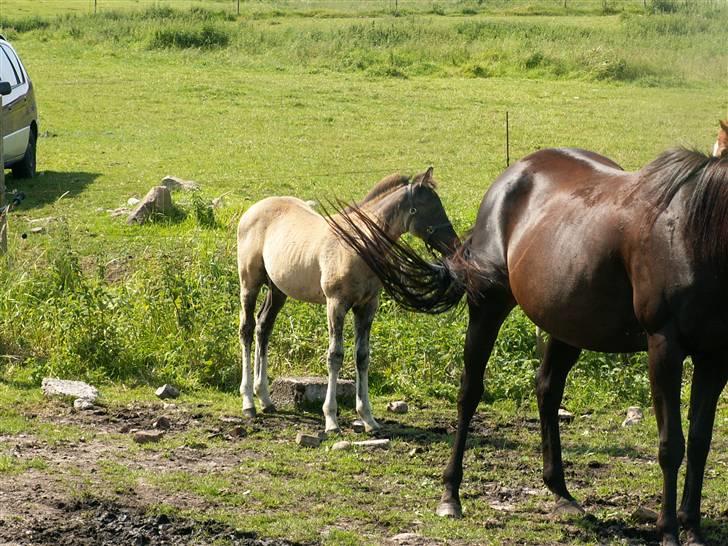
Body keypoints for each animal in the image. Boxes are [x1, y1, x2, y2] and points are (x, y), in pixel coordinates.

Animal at [237, 168, 456, 432]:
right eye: (429, 207)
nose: (454, 244)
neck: (357, 244)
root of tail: (252, 210)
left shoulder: (367, 306)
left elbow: (362, 356)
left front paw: (368, 418)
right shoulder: (336, 304)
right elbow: (335, 356)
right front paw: (331, 419)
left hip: (278, 290)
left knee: (263, 327)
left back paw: (265, 399)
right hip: (249, 283)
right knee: (247, 330)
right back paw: (248, 403)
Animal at [330, 148, 728, 544]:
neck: (693, 232)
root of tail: (514, 173)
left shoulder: (715, 358)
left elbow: (700, 442)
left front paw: (691, 527)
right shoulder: (664, 349)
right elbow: (672, 444)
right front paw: (670, 530)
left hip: (568, 324)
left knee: (547, 389)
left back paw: (561, 492)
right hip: (489, 307)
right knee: (470, 392)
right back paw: (451, 495)